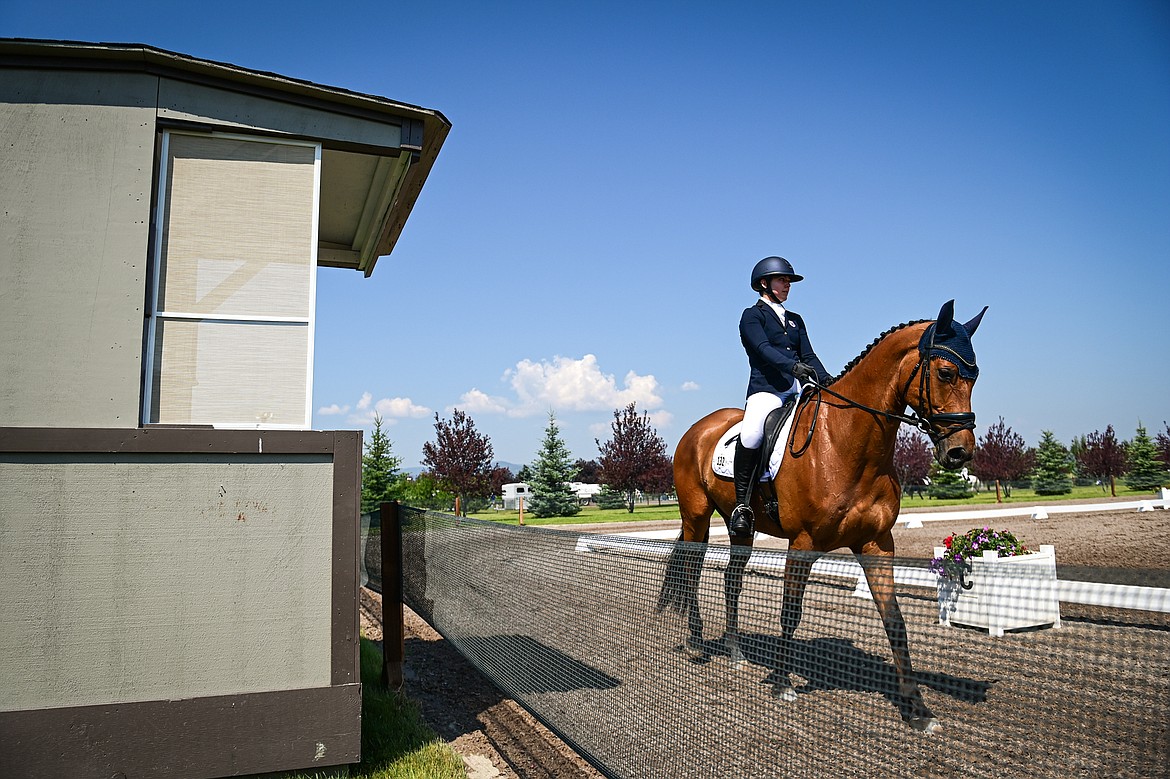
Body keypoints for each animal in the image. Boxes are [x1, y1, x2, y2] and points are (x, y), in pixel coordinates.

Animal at [659, 297, 987, 729]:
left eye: (975, 376)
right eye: (946, 373)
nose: (960, 452)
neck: (847, 443)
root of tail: (697, 429)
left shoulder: (877, 544)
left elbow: (895, 622)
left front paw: (917, 710)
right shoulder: (803, 543)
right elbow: (790, 613)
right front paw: (782, 683)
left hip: (739, 526)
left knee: (732, 579)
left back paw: (735, 652)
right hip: (696, 516)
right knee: (691, 572)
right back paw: (698, 642)